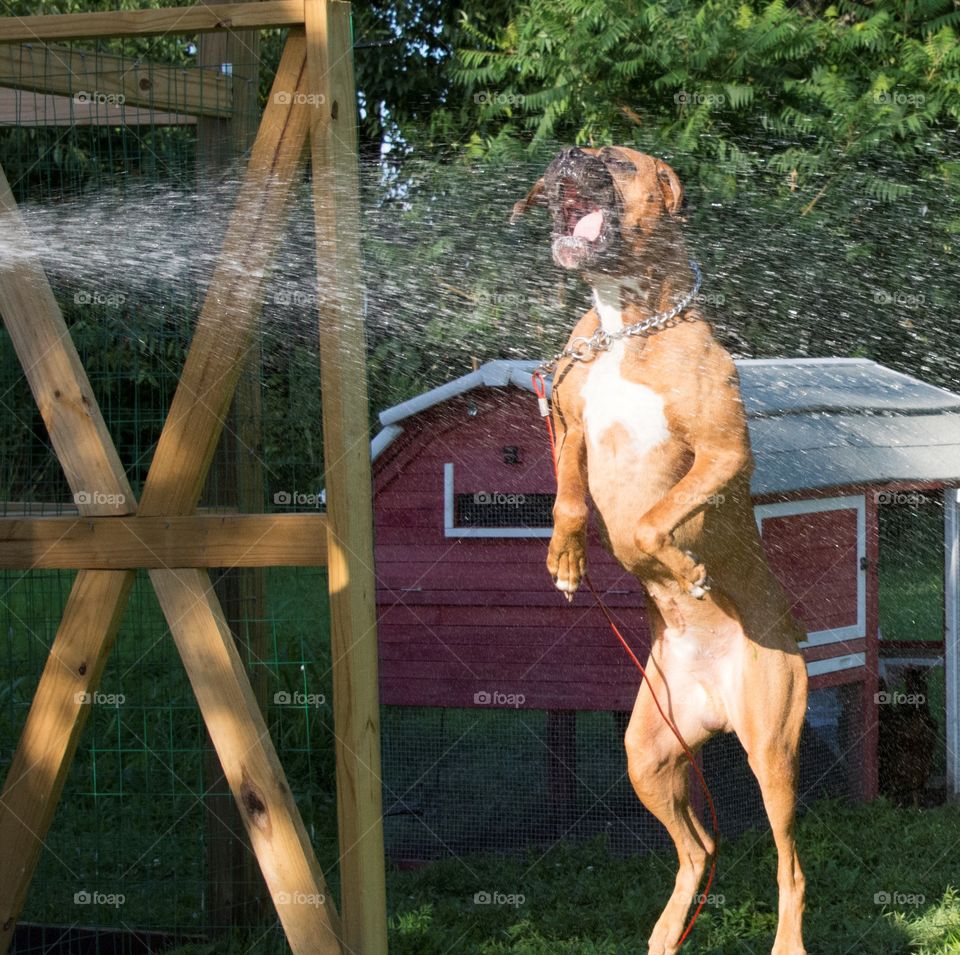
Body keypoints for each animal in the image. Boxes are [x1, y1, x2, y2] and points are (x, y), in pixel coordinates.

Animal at [512, 144, 808, 955]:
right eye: (579, 147)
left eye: (614, 159)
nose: (566, 152)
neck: (627, 322)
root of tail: (712, 703)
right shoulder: (571, 426)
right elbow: (571, 499)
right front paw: (567, 555)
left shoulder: (723, 453)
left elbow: (648, 524)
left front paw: (676, 566)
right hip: (648, 753)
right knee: (700, 848)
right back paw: (670, 928)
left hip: (771, 747)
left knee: (790, 867)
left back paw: (787, 941)